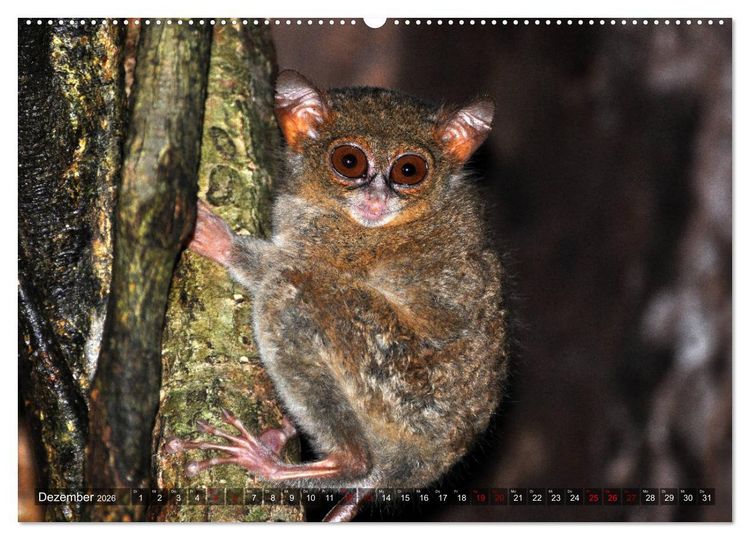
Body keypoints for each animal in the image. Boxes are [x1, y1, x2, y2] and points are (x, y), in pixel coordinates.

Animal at [165, 70, 508, 522]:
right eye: (350, 163)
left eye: (409, 170)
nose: (377, 198)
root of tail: (422, 467)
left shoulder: (339, 243)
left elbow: (279, 266)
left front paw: (218, 240)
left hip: (402, 383)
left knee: (292, 288)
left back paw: (281, 461)